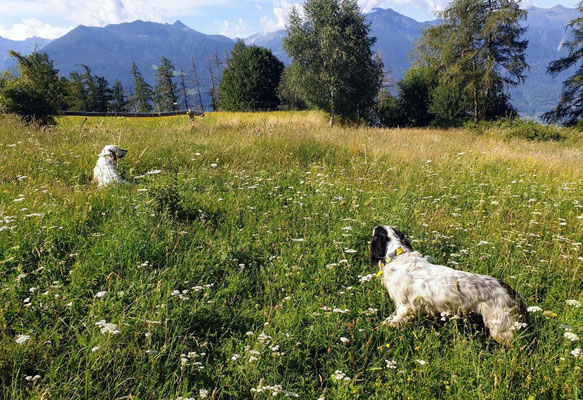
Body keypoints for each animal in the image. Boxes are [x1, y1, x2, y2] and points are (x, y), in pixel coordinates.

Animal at [372, 227, 532, 346]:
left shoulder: (404, 307)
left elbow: (391, 321)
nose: (375, 226)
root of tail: (508, 289)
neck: (397, 255)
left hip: (501, 326)